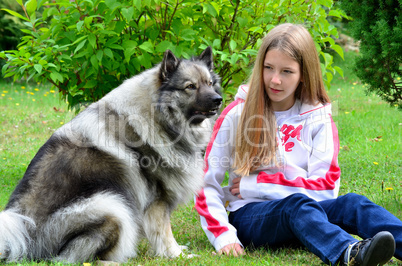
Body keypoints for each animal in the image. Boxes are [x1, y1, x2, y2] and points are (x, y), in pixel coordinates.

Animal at [0, 46, 223, 262]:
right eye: (190, 86)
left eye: (210, 83)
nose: (218, 99)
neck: (158, 118)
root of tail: (26, 238)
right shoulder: (157, 201)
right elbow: (164, 233)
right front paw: (176, 255)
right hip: (111, 206)